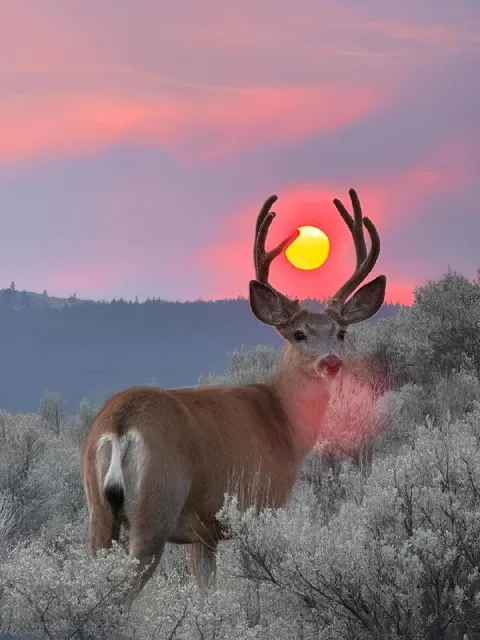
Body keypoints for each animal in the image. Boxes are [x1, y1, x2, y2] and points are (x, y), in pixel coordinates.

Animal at [81, 188, 386, 605]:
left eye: (341, 332)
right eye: (299, 334)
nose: (331, 361)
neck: (284, 422)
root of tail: (119, 424)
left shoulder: (204, 532)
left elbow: (206, 590)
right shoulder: (262, 504)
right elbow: (256, 593)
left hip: (98, 512)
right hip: (155, 505)